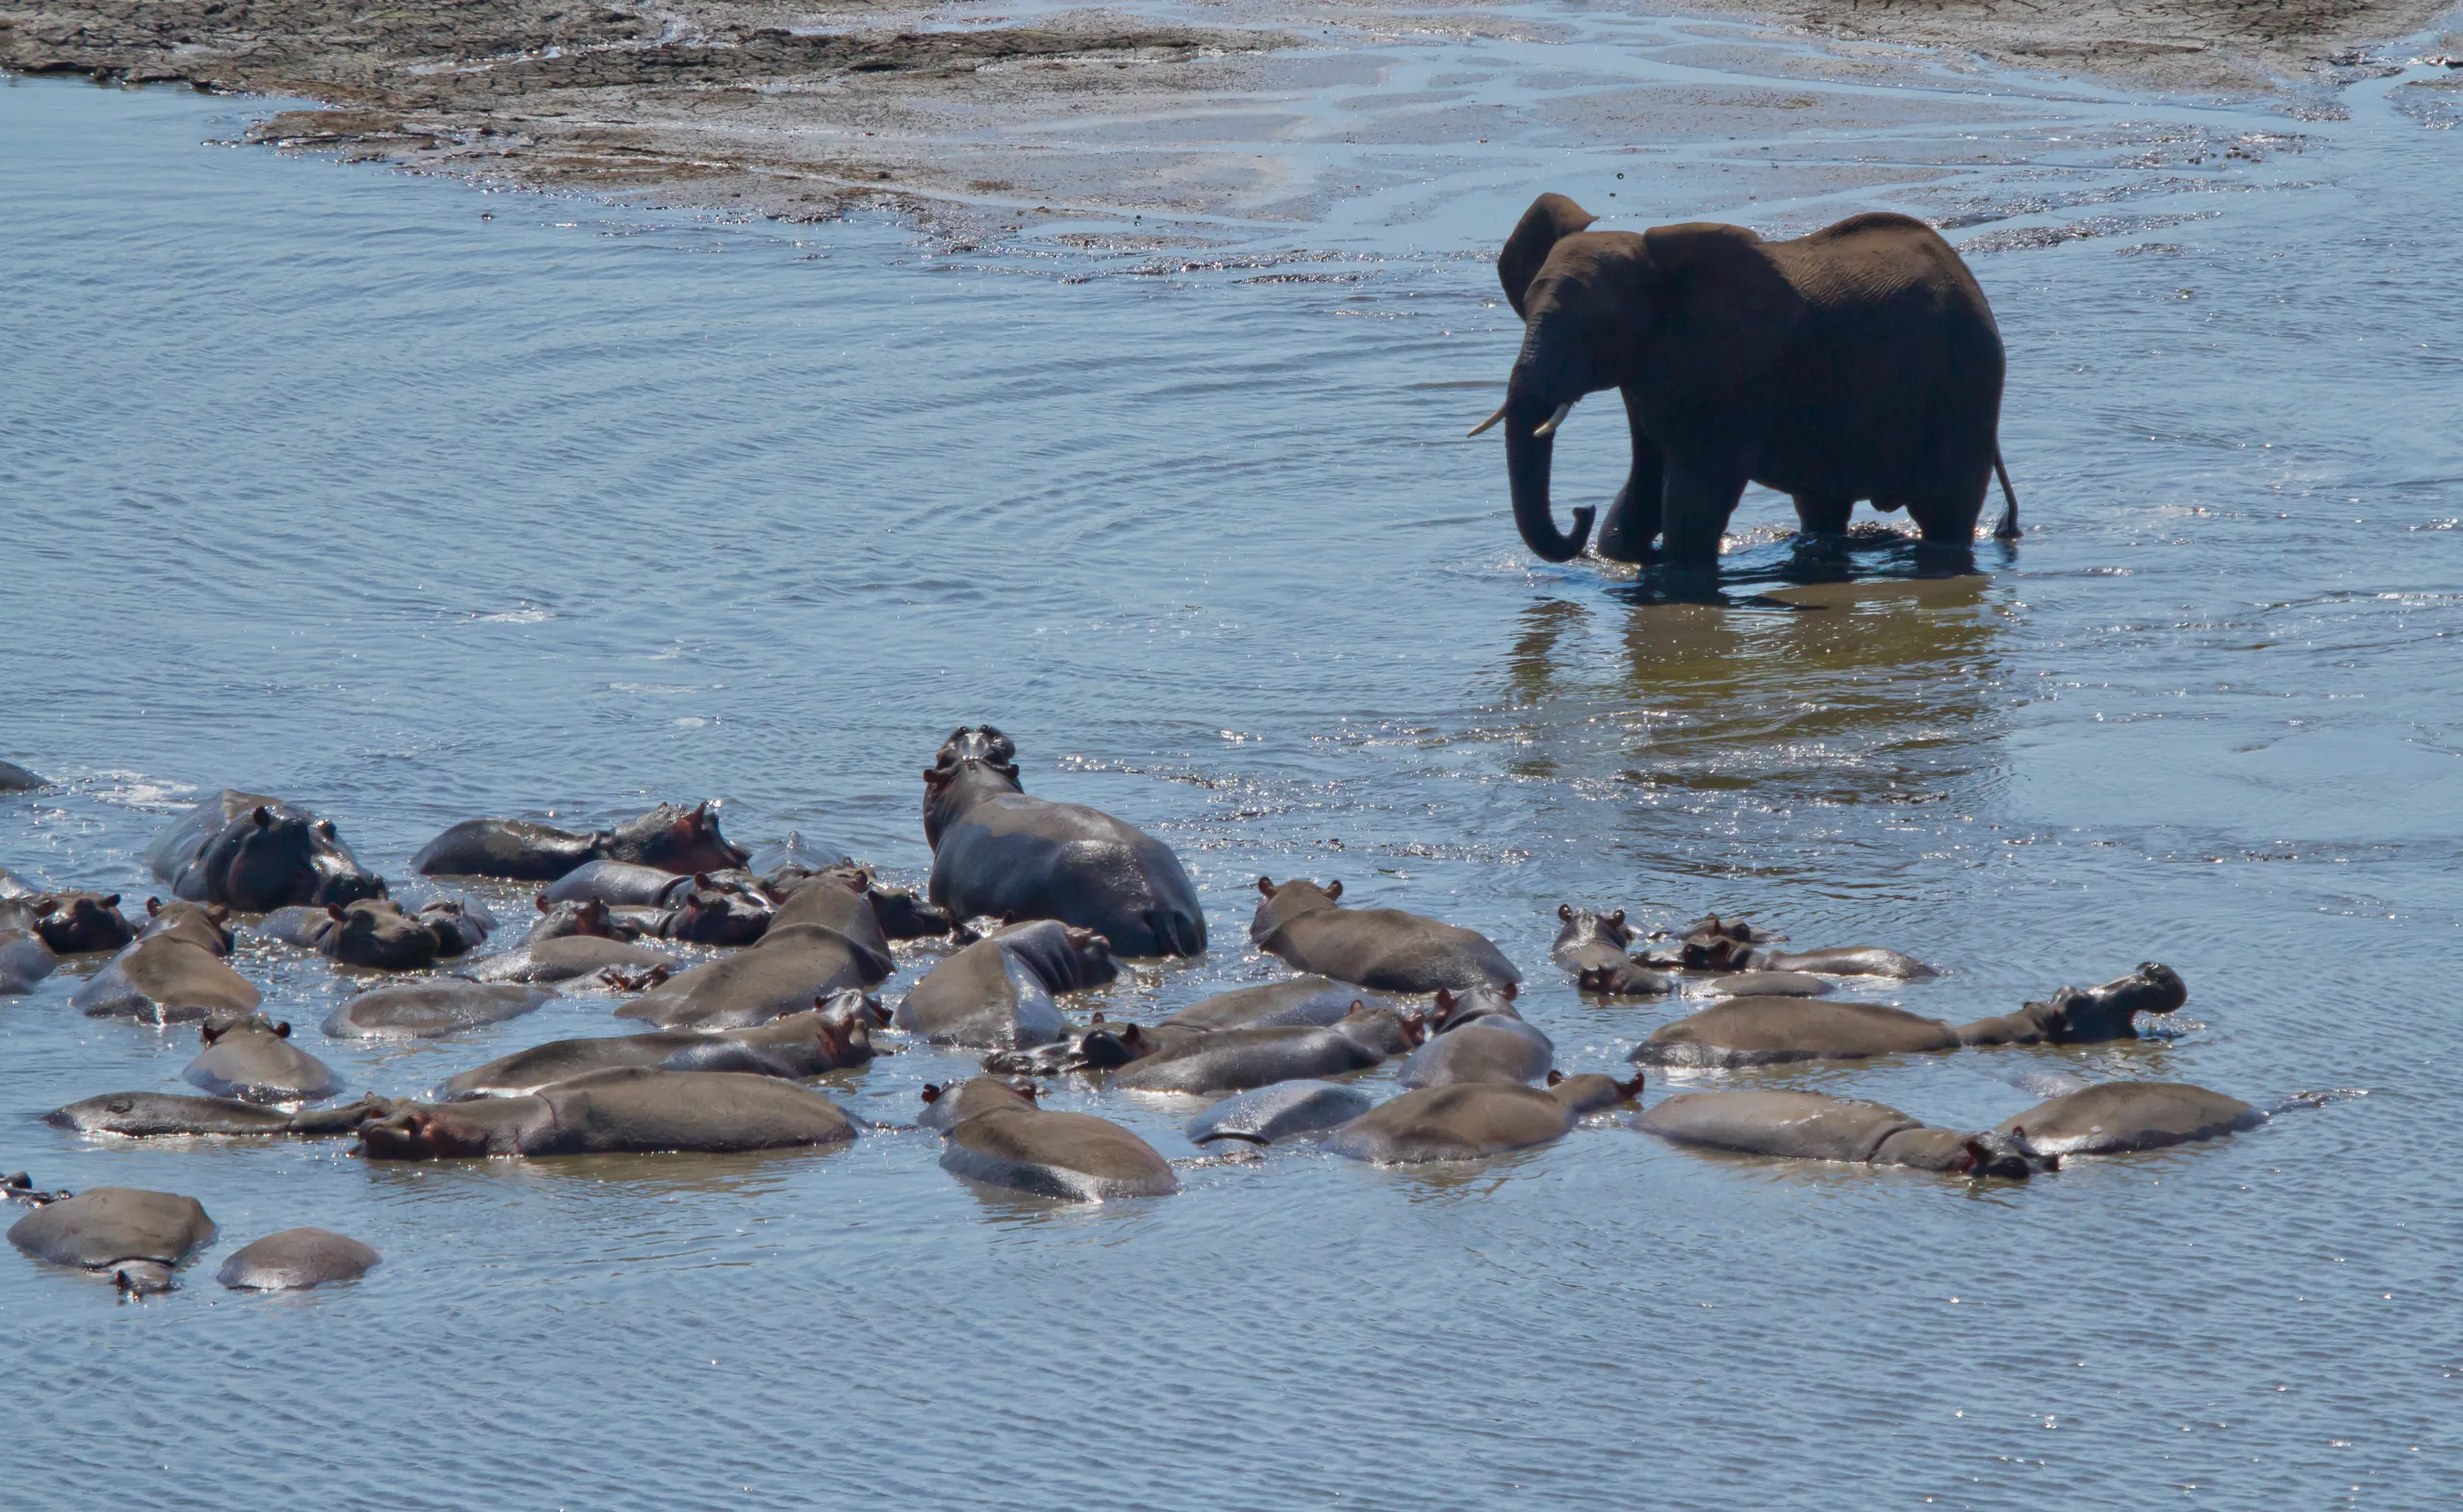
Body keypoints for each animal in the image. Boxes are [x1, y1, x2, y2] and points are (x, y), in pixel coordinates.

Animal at [1471, 195, 2018, 565]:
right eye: (1526, 308)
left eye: (1597, 327)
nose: (1579, 509)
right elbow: (1644, 481)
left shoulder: (1736, 381)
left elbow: (1693, 502)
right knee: (1821, 505)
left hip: (1966, 378)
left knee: (1944, 512)